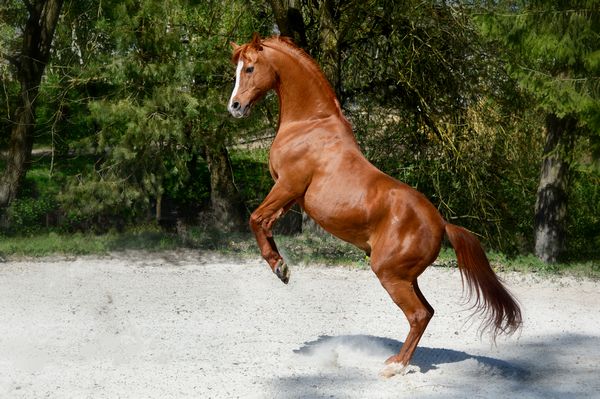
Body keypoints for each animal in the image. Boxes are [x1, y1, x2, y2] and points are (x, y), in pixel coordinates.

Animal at [229, 33, 520, 376]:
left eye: (249, 68)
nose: (234, 107)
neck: (309, 124)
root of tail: (441, 223)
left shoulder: (287, 185)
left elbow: (256, 218)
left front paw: (280, 268)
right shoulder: (291, 196)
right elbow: (265, 221)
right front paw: (280, 264)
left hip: (389, 273)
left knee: (418, 314)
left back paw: (395, 367)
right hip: (406, 276)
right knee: (427, 312)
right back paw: (398, 362)